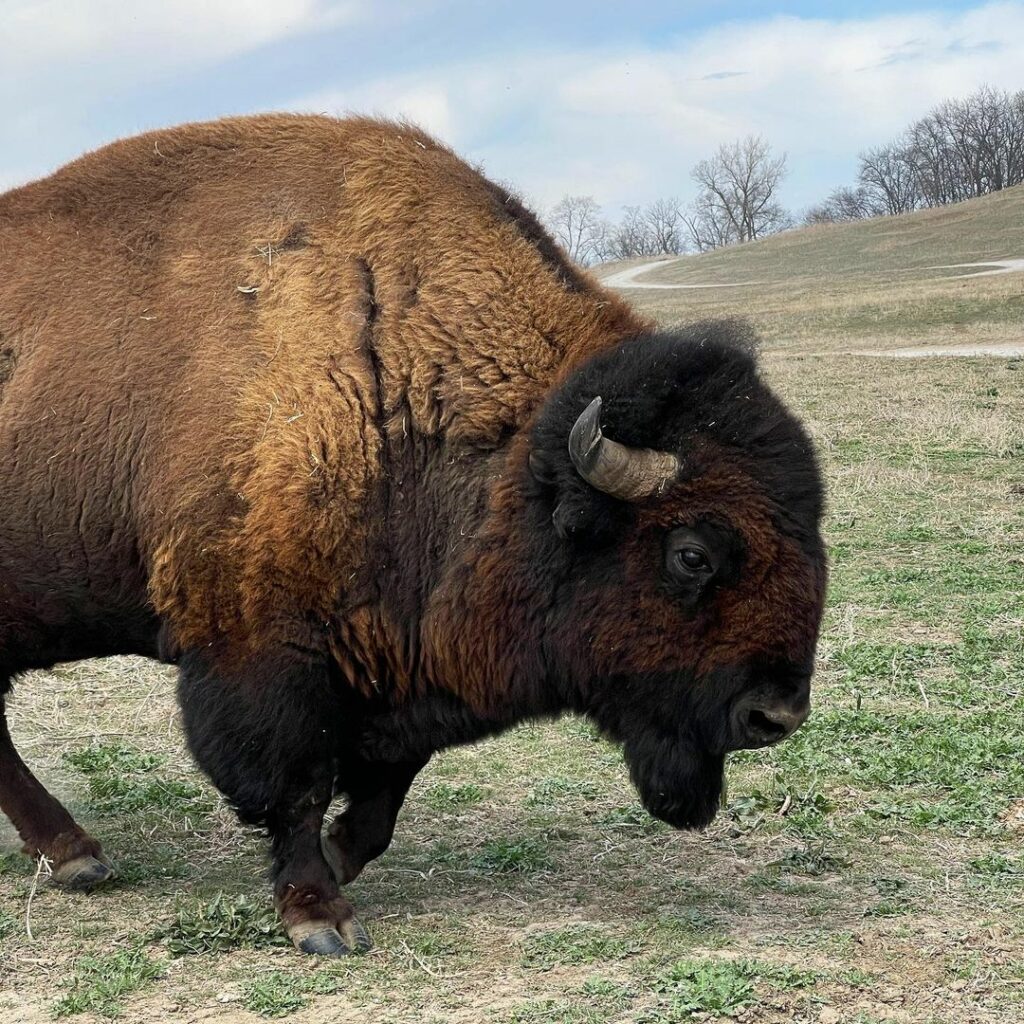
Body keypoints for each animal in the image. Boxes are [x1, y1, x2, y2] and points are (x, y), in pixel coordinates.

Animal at [0, 116, 827, 954]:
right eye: (691, 554)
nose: (775, 716)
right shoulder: (261, 653)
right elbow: (293, 786)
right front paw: (320, 917)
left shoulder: (401, 654)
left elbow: (386, 789)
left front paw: (341, 856)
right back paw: (79, 854)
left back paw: (74, 856)